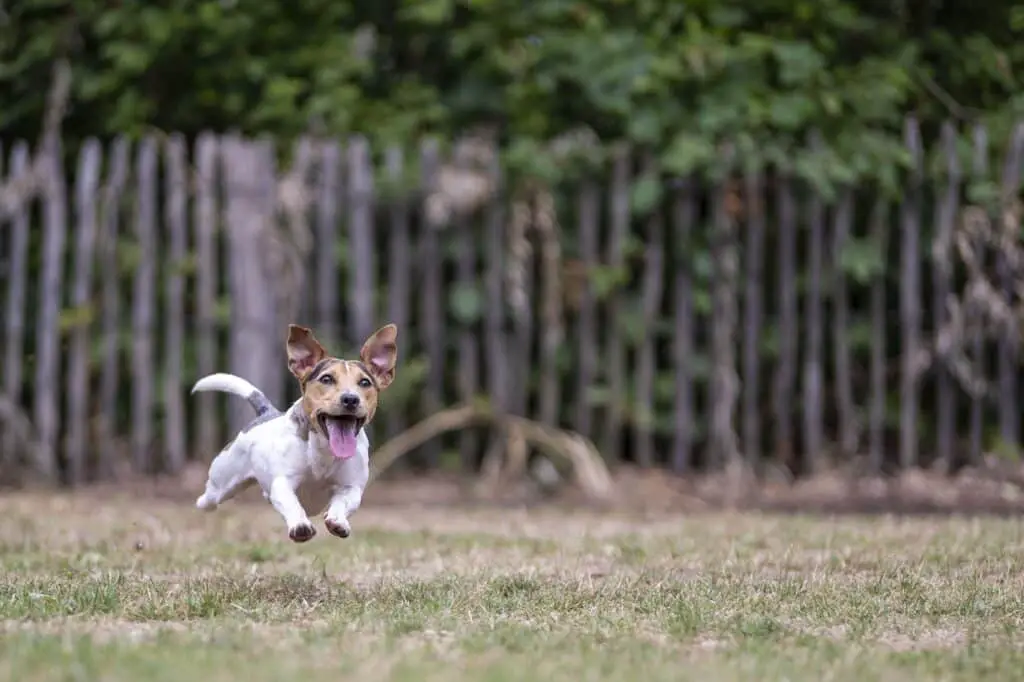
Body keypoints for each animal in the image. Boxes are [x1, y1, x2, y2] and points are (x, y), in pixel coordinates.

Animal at [190, 321, 397, 540]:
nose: (350, 399)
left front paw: (337, 521)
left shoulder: (351, 487)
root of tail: (267, 412)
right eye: (326, 379)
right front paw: (300, 525)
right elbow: (291, 503)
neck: (324, 449)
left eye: (365, 382)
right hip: (221, 482)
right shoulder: (283, 483)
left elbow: (343, 502)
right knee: (208, 499)